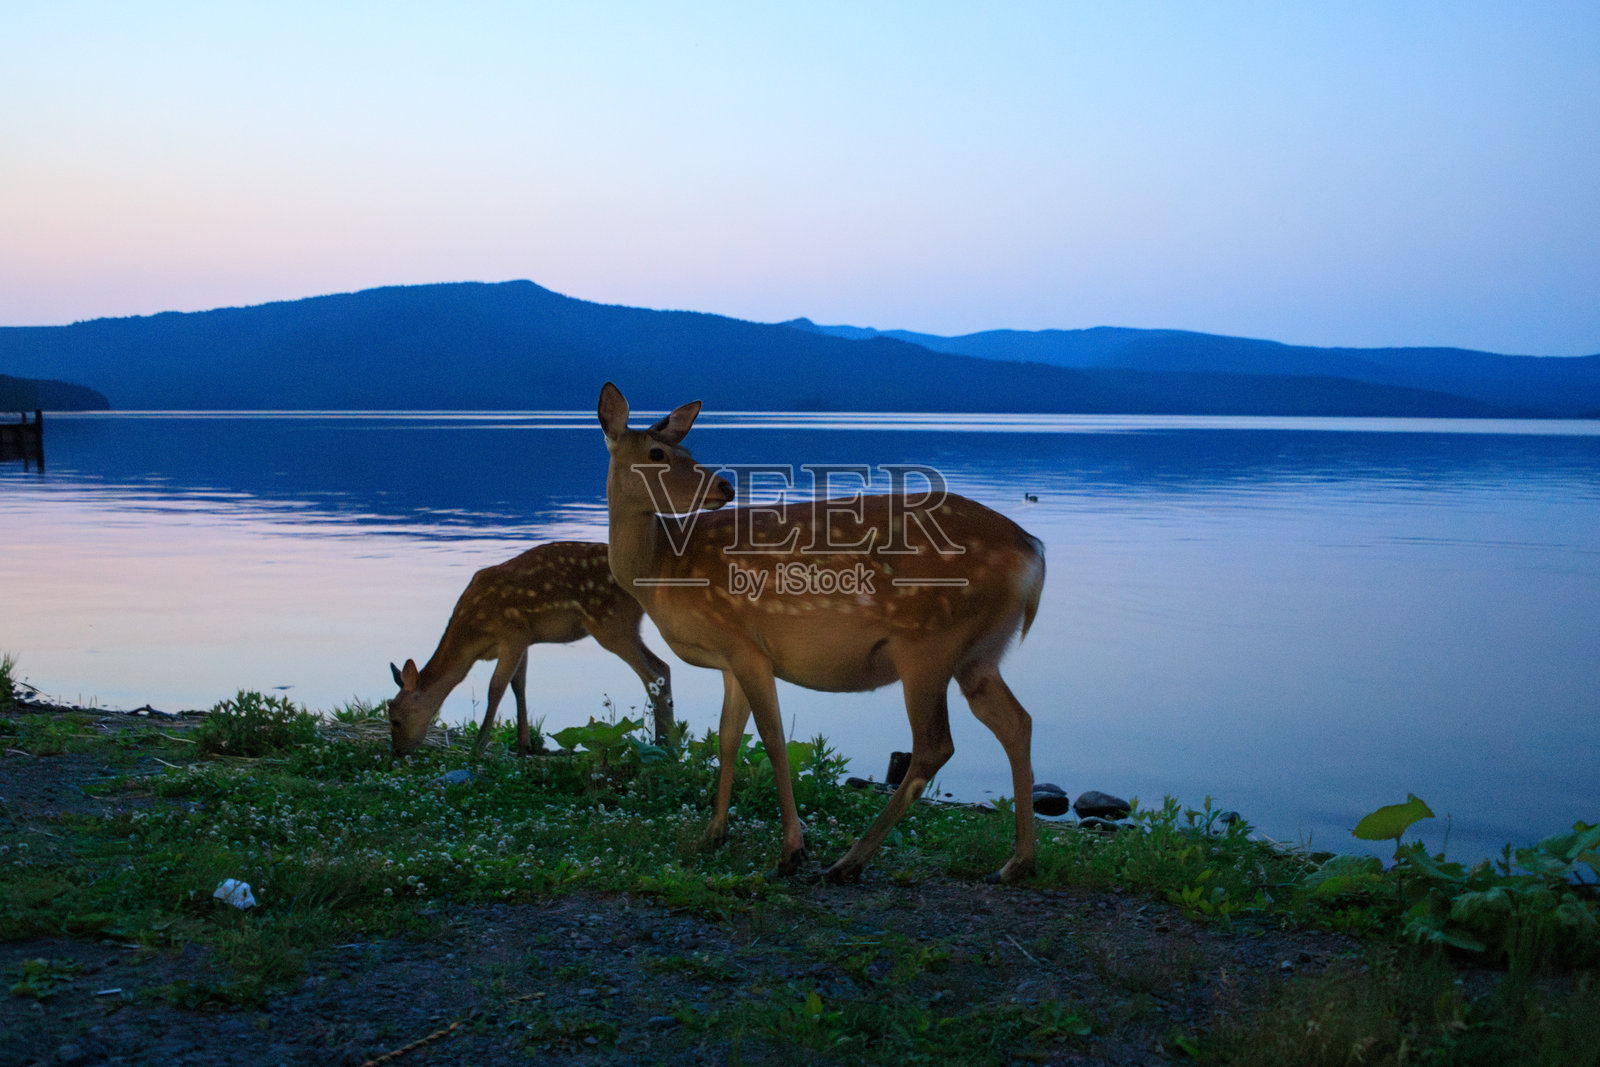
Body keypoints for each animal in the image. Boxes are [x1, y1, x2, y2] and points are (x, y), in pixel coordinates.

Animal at [387, 541, 674, 759]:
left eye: (396, 719)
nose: (398, 753)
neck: (473, 638)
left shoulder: (512, 633)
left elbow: (496, 687)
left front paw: (479, 747)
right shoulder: (525, 640)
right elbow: (519, 685)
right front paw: (525, 746)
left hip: (610, 625)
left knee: (652, 674)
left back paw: (663, 745)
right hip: (625, 628)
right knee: (663, 667)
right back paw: (666, 744)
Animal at [597, 383, 1046, 884]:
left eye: (688, 450)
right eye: (657, 452)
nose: (725, 487)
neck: (663, 571)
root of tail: (1034, 552)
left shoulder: (746, 642)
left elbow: (773, 740)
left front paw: (792, 850)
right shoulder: (729, 658)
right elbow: (728, 738)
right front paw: (711, 834)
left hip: (929, 643)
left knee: (934, 744)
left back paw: (849, 860)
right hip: (980, 652)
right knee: (1017, 722)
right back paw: (1017, 862)